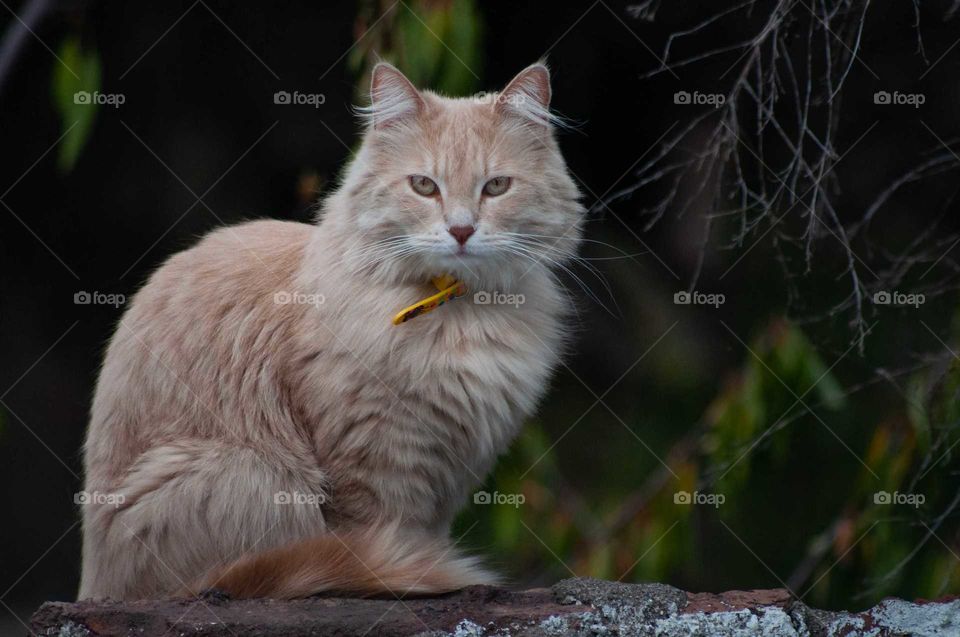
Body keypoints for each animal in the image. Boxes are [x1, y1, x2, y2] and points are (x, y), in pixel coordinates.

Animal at [79, 62, 584, 600]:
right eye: (424, 186)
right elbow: (385, 541)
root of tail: (96, 581)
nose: (462, 231)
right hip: (250, 473)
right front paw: (410, 576)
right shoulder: (370, 460)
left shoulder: (450, 472)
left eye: (496, 187)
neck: (461, 316)